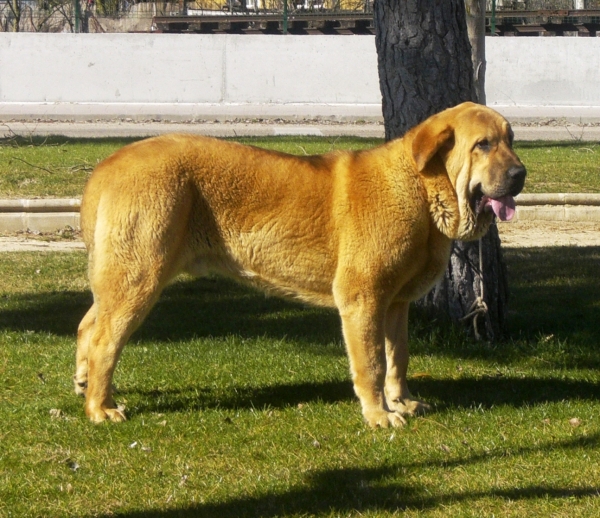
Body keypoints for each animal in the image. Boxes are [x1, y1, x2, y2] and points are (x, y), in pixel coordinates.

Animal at [74, 102, 524, 430]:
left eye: (510, 139)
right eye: (483, 145)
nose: (520, 173)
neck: (419, 185)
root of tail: (106, 166)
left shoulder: (396, 305)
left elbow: (399, 358)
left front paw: (403, 402)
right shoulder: (363, 300)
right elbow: (373, 363)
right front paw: (379, 414)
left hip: (123, 277)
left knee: (88, 325)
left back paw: (84, 383)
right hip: (139, 278)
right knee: (104, 341)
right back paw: (100, 408)